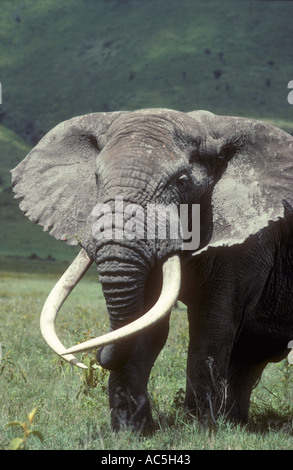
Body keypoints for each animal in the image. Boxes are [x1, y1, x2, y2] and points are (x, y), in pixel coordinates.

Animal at [11, 108, 292, 432]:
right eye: (95, 178)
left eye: (182, 181)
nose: (92, 357)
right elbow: (146, 322)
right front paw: (130, 432)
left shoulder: (248, 241)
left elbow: (211, 325)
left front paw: (201, 430)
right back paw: (236, 423)